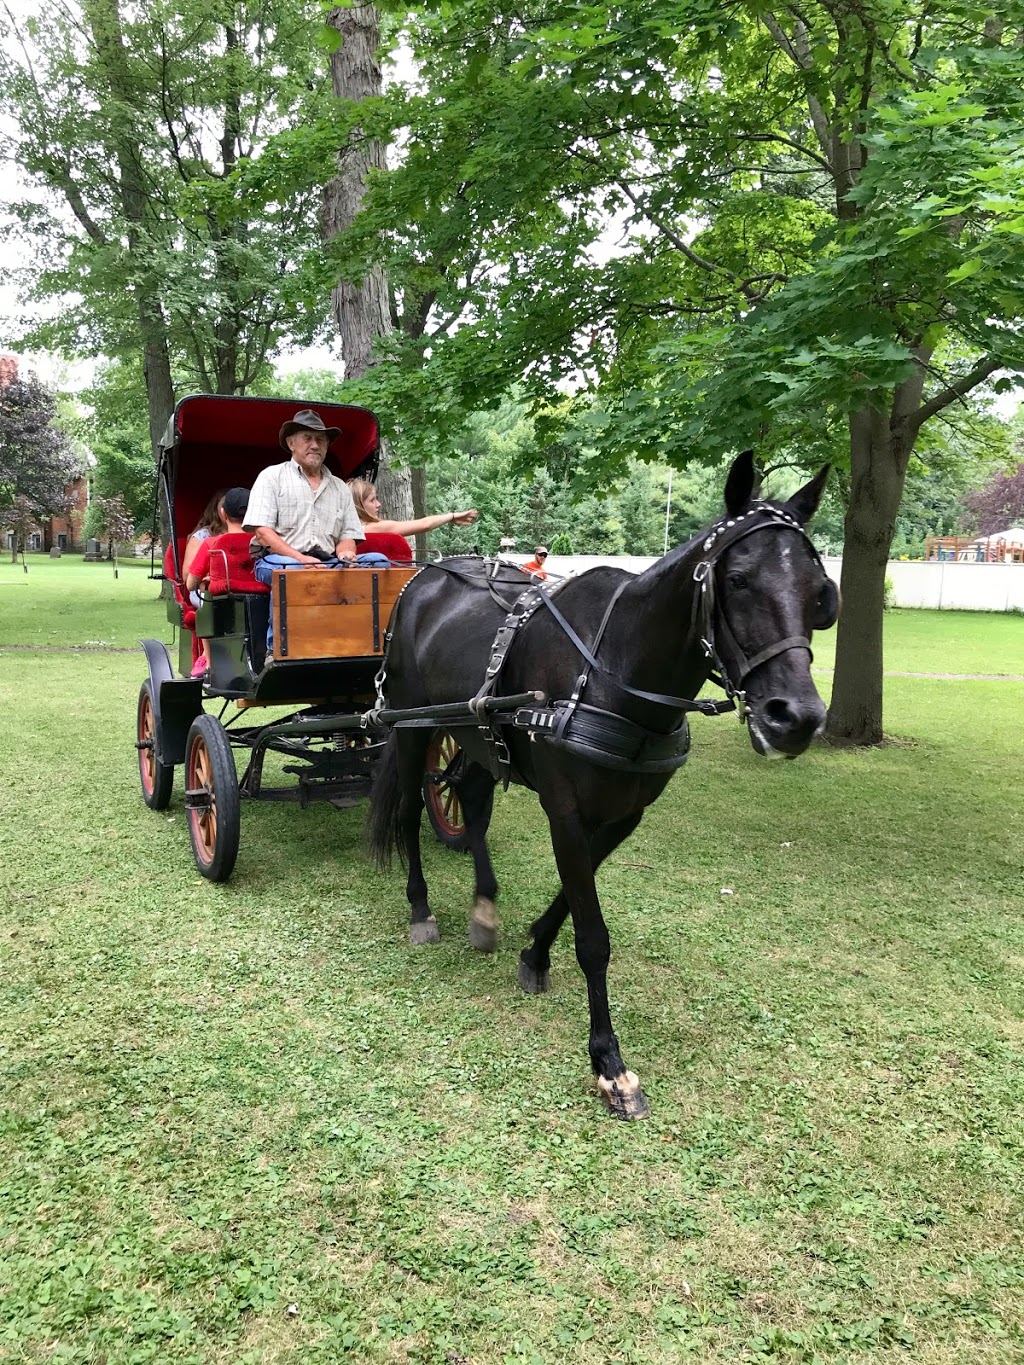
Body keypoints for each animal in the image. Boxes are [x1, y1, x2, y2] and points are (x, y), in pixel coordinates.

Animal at [374, 453, 835, 1113]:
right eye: (739, 579)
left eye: (818, 592)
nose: (794, 718)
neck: (615, 668)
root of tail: (425, 578)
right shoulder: (565, 809)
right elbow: (593, 935)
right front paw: (608, 1062)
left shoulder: (626, 812)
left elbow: (574, 894)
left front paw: (534, 950)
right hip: (412, 724)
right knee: (412, 810)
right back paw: (420, 908)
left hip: (474, 731)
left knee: (469, 797)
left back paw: (484, 905)